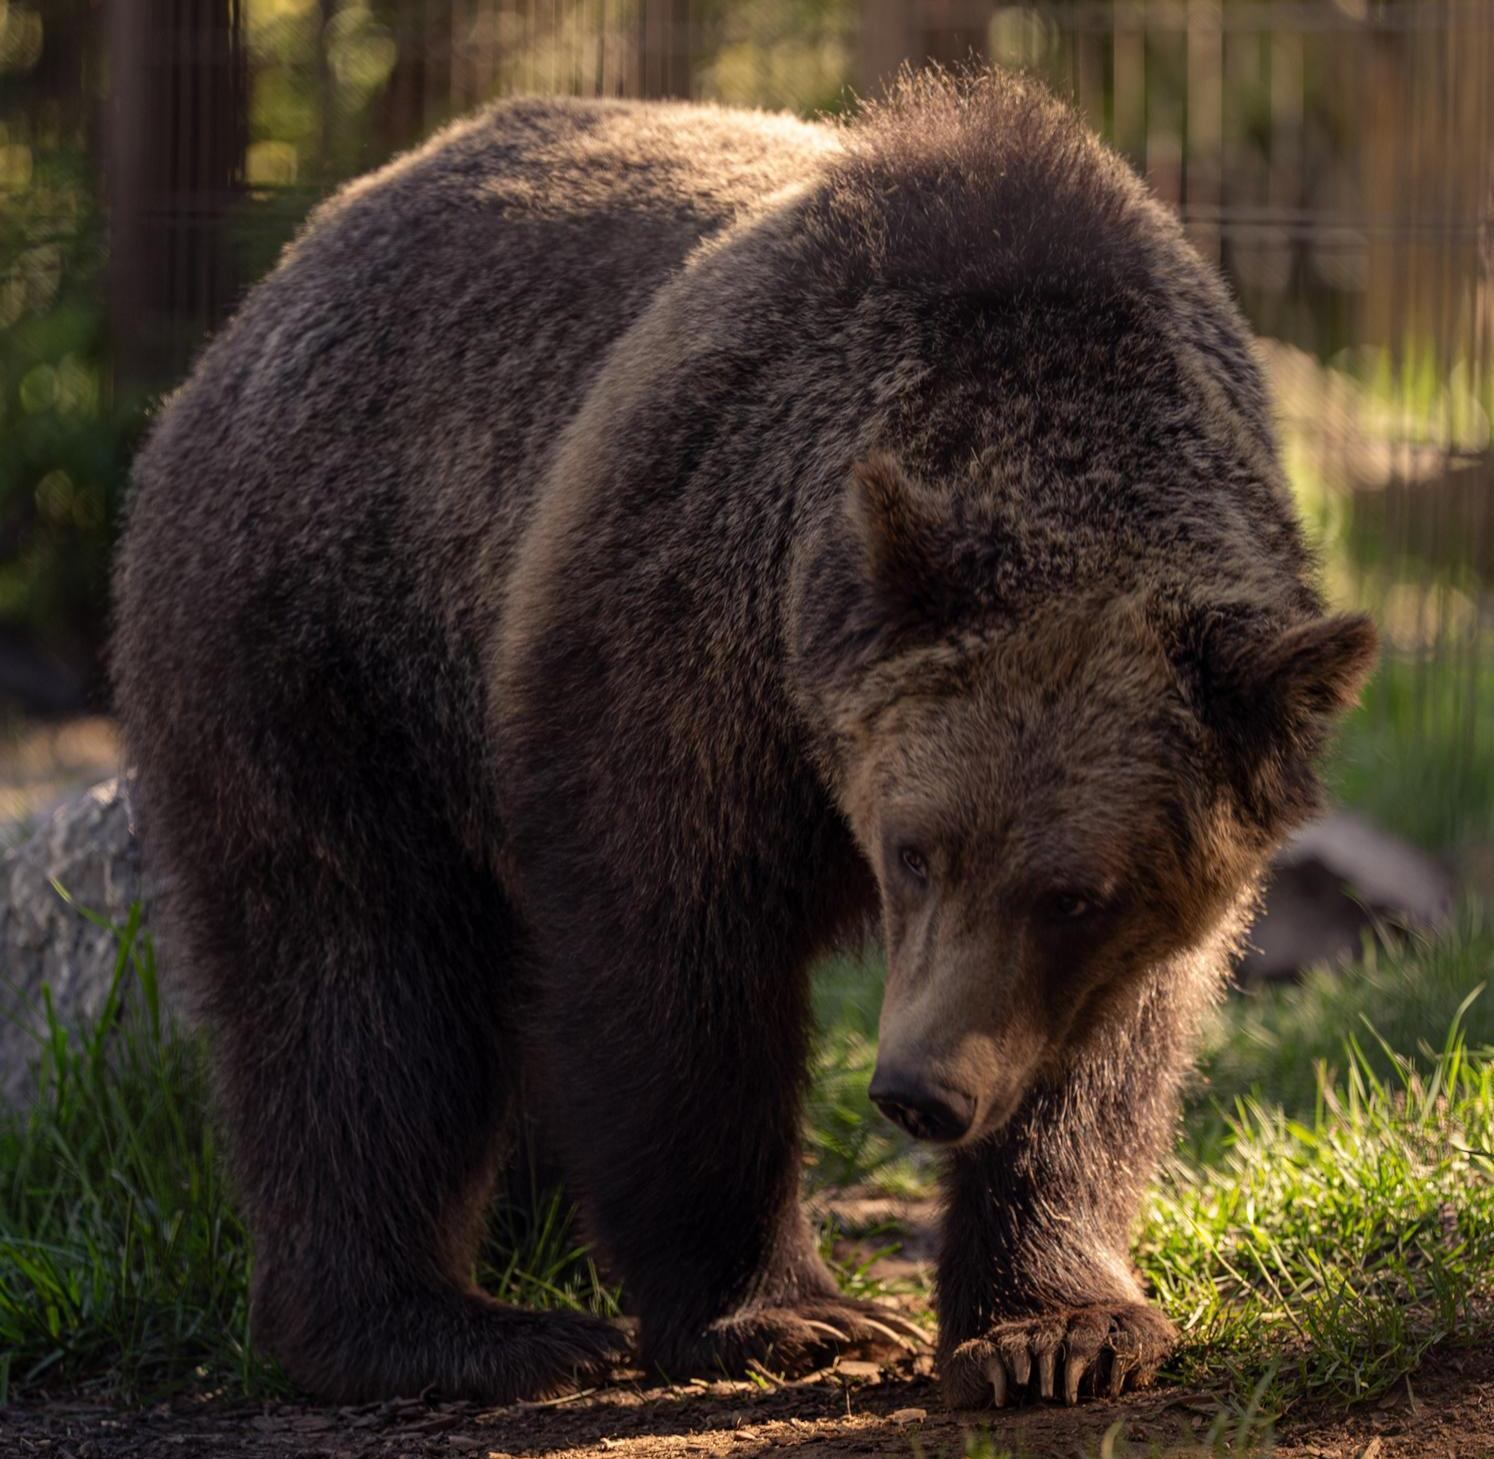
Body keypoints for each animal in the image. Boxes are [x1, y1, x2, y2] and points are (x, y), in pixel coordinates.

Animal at [111, 68, 1377, 1410]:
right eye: (918, 849)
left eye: (1076, 894)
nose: (921, 1092)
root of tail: (289, 266)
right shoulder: (689, 628)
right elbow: (676, 966)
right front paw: (788, 1309)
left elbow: (1102, 1059)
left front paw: (1054, 1327)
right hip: (333, 634)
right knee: (357, 974)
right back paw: (452, 1321)